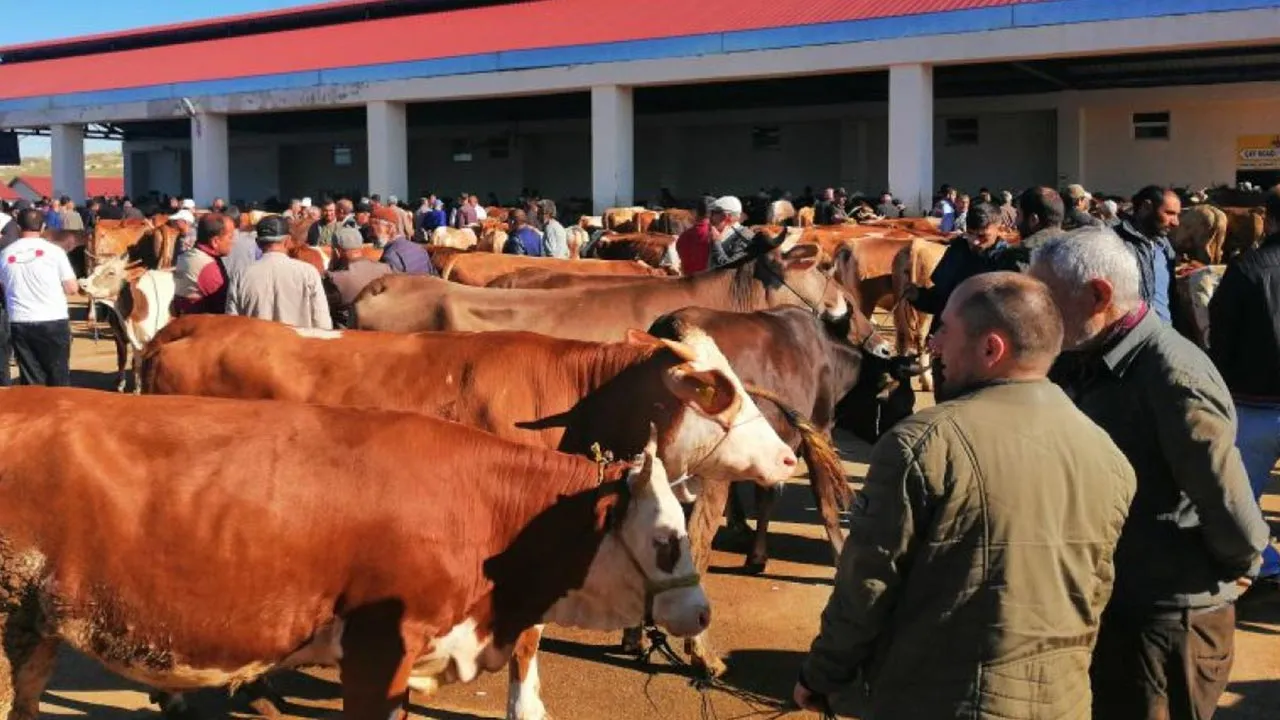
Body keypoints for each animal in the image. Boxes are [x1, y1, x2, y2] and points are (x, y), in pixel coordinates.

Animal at [75, 254, 175, 392]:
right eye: (94, 269)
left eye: (111, 272)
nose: (81, 284)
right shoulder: (130, 338)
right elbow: (133, 362)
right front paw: (135, 389)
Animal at [142, 313, 798, 717]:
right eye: (720, 391)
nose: (788, 457)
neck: (575, 402)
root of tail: (188, 324)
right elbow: (530, 633)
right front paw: (524, 706)